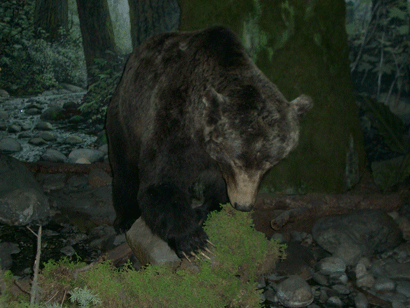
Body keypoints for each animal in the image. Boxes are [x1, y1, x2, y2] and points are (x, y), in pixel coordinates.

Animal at [105, 25, 310, 258]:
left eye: (269, 163)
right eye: (237, 160)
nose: (243, 205)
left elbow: (219, 188)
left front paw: (205, 211)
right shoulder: (175, 121)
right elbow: (160, 182)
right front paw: (193, 241)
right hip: (124, 116)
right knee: (124, 168)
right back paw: (124, 218)